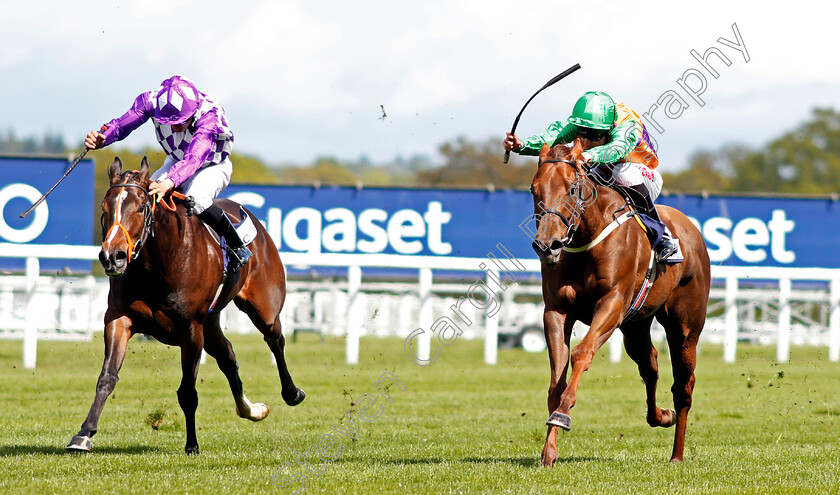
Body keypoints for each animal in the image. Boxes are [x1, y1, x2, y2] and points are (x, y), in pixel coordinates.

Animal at [66, 157, 306, 456]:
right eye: (104, 207)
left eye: (141, 207)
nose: (113, 256)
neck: (161, 262)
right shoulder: (118, 318)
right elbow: (107, 377)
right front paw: (83, 434)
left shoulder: (191, 330)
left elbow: (187, 392)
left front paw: (192, 444)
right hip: (211, 323)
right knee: (228, 356)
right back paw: (252, 410)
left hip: (263, 308)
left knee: (275, 339)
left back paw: (292, 393)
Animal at [532, 141, 708, 466]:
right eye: (533, 189)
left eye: (572, 188)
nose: (547, 245)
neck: (586, 238)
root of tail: (691, 228)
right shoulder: (556, 311)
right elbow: (556, 378)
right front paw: (549, 451)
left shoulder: (611, 304)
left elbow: (581, 353)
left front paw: (562, 414)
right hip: (635, 326)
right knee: (650, 366)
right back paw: (662, 416)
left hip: (686, 327)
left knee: (683, 387)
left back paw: (677, 454)